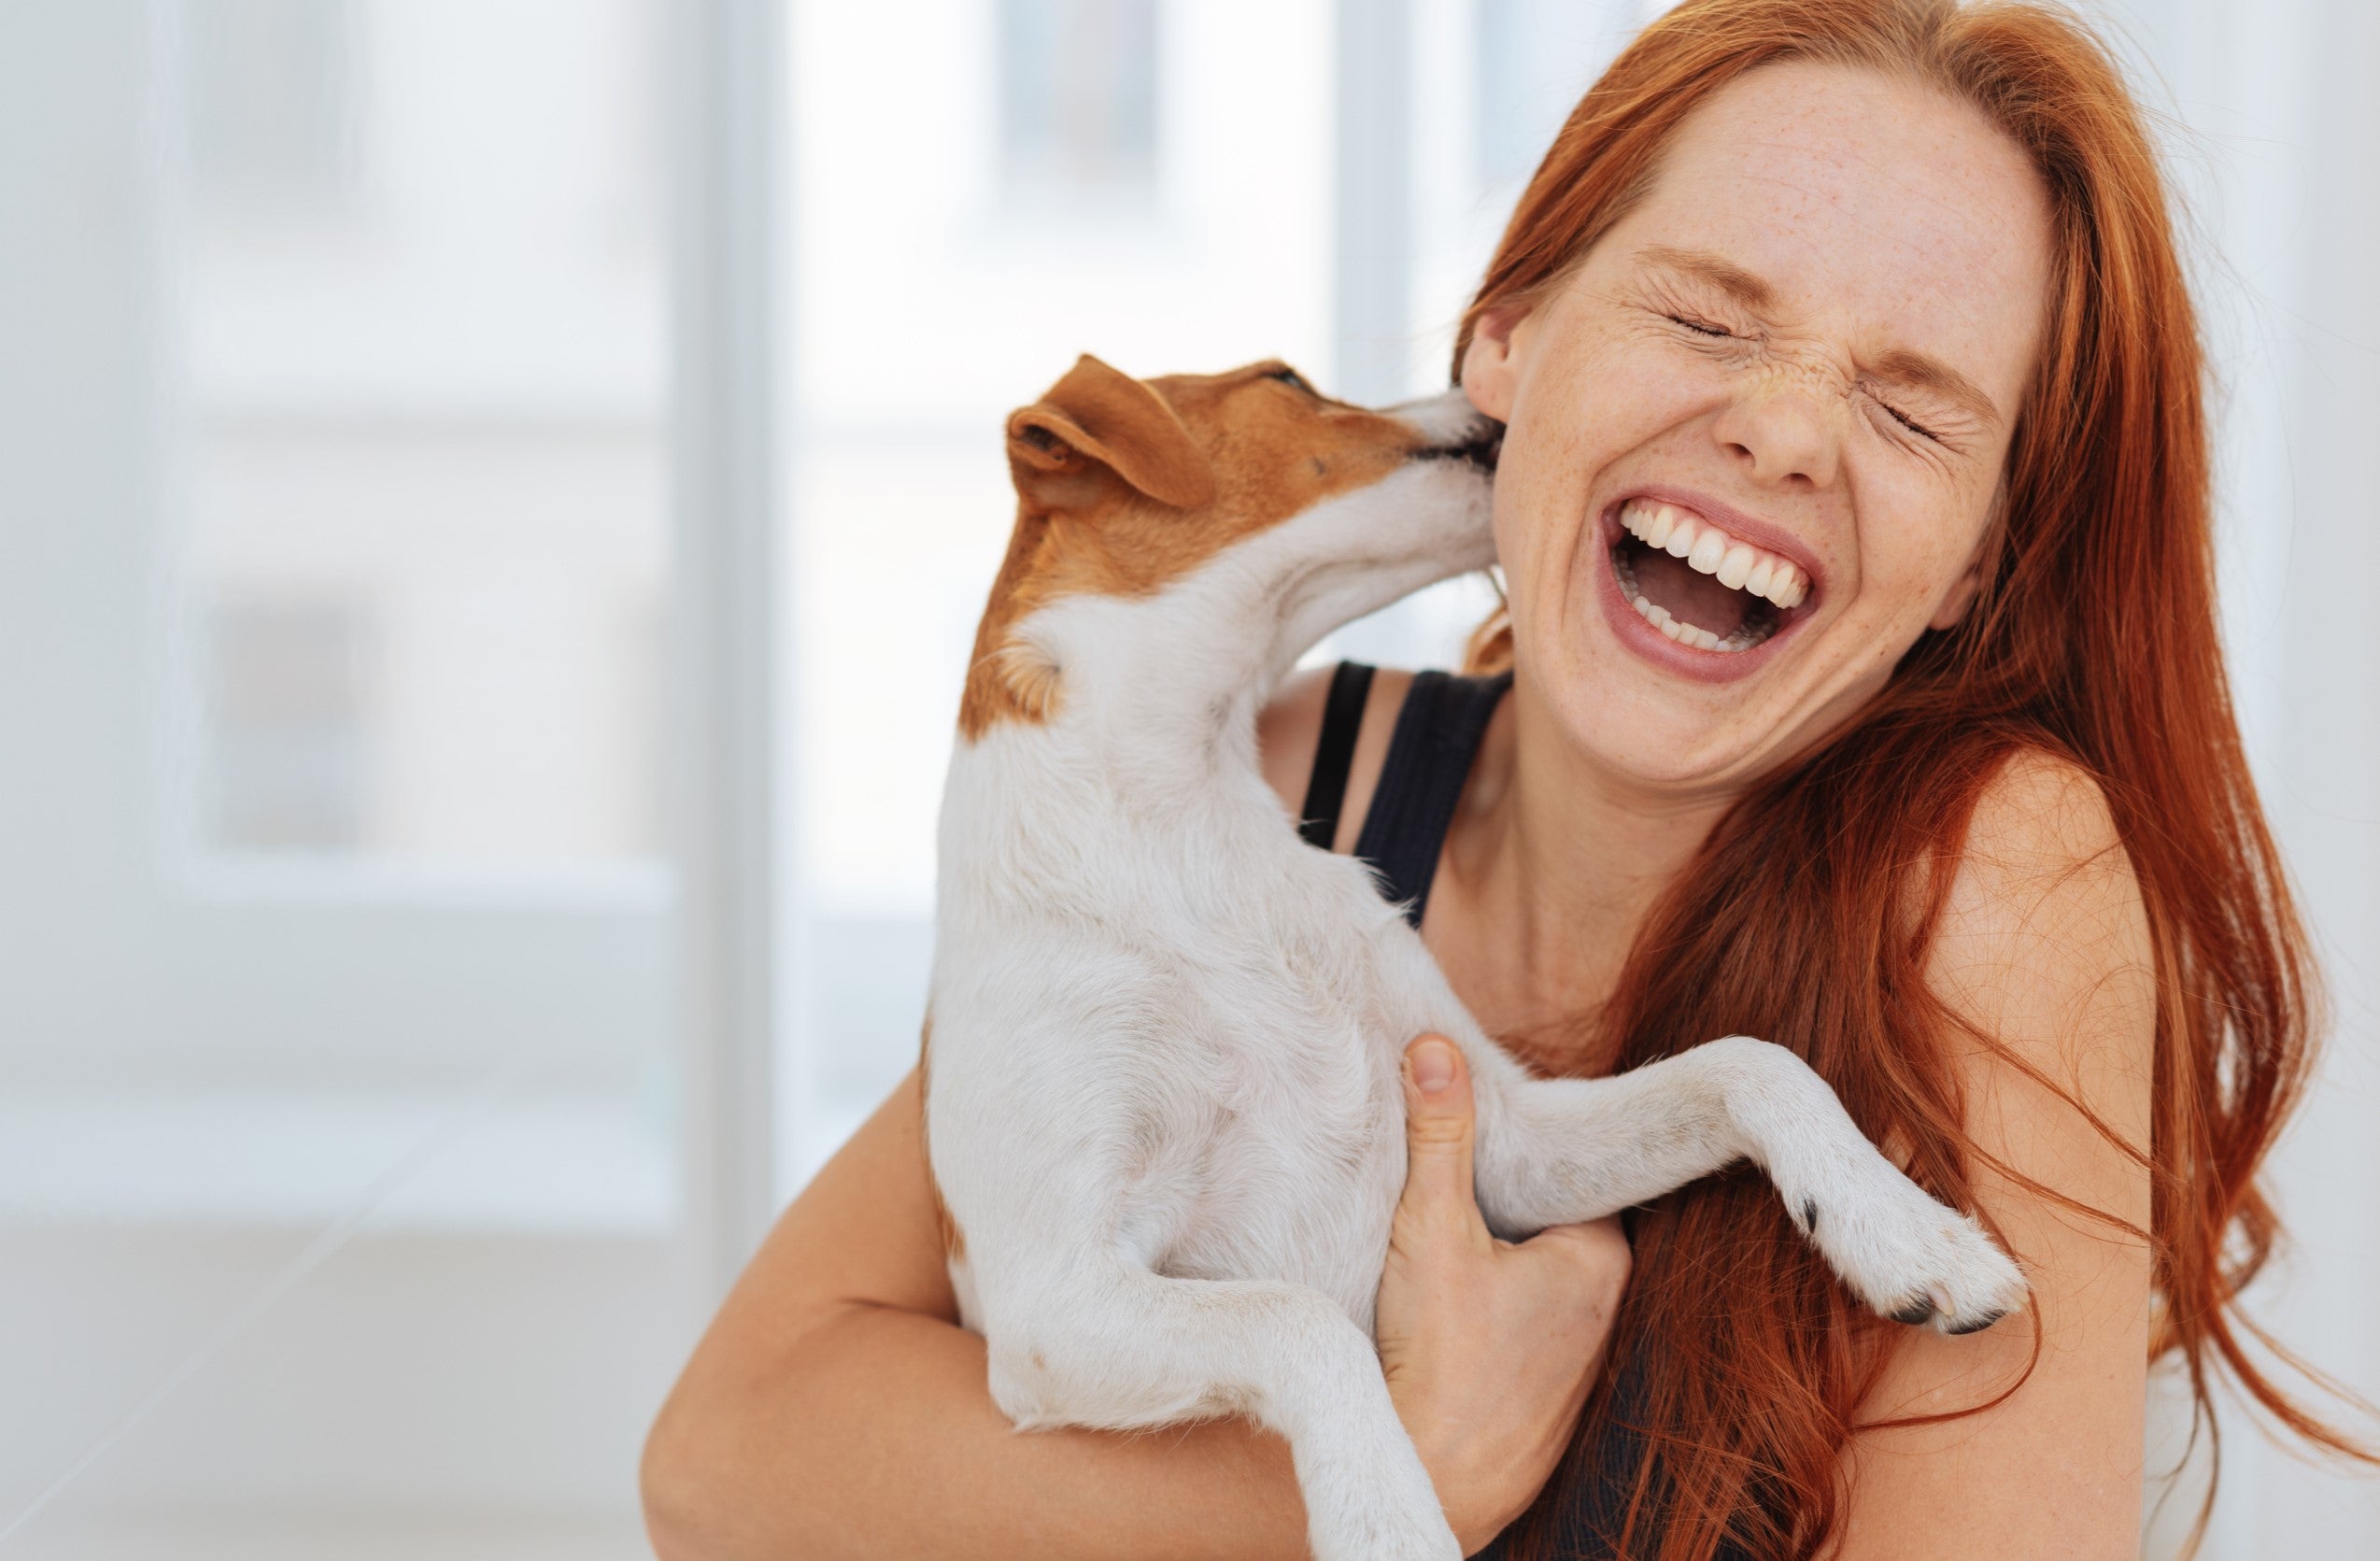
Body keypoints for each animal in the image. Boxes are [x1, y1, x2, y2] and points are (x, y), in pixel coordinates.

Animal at [918, 357, 2018, 1560]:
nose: (1490, 397)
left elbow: (1751, 1062)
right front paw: (1386, 1520)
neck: (1182, 829)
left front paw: (1908, 1234)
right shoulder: (1052, 1302)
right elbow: (1297, 1319)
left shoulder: (1510, 1142)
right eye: (1287, 377)